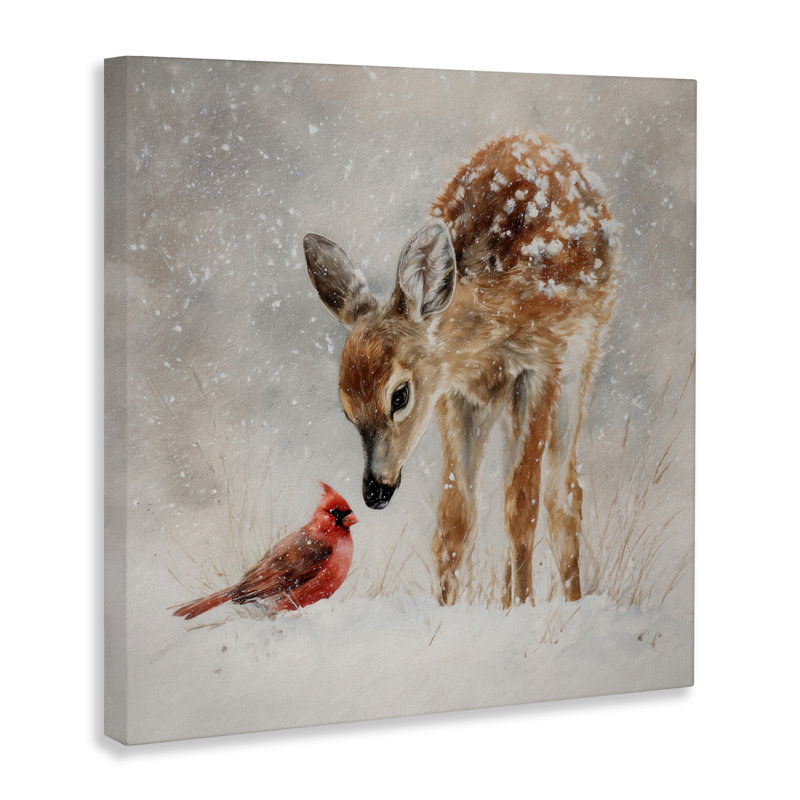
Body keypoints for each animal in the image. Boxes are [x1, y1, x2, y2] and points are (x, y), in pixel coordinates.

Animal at [304, 132, 618, 606]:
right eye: (346, 409)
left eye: (400, 395)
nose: (374, 491)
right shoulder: (454, 394)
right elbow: (455, 517)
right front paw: (449, 609)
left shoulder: (541, 366)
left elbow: (521, 507)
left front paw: (524, 610)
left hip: (580, 364)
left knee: (563, 497)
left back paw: (564, 602)